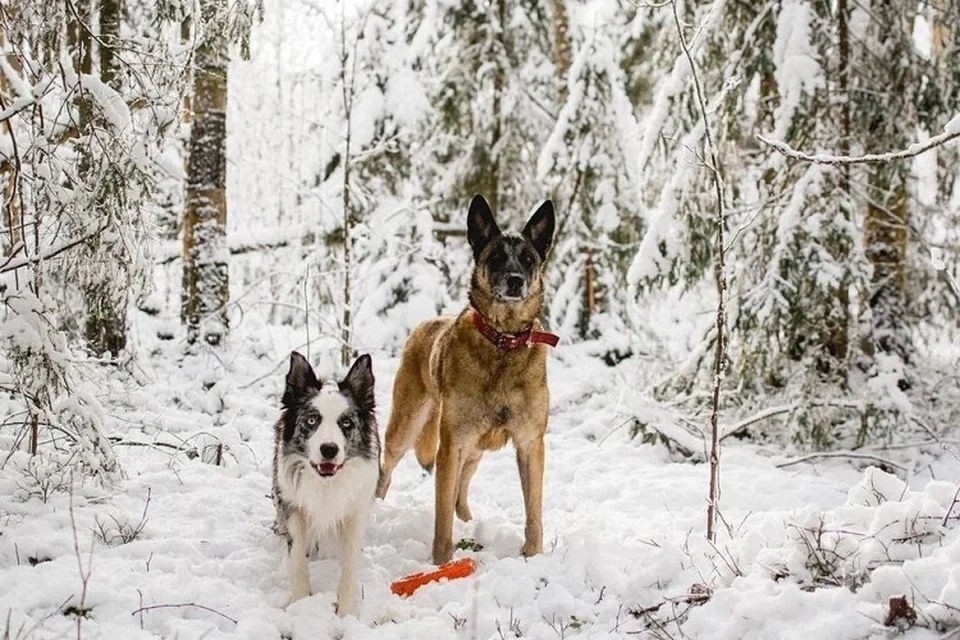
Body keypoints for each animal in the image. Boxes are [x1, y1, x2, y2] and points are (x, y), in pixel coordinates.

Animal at [270, 352, 378, 616]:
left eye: (346, 423)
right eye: (312, 420)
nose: (329, 449)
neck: (326, 482)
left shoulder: (355, 511)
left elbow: (350, 561)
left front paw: (347, 611)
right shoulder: (292, 505)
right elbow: (298, 555)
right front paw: (300, 603)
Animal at [376, 195, 556, 564]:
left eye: (528, 259)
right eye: (496, 257)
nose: (515, 280)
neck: (503, 341)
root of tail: (423, 324)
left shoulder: (530, 443)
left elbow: (533, 510)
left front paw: (532, 556)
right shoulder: (451, 445)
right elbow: (441, 515)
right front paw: (441, 563)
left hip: (476, 446)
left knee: (462, 485)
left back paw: (469, 520)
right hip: (408, 426)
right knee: (387, 466)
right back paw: (378, 507)